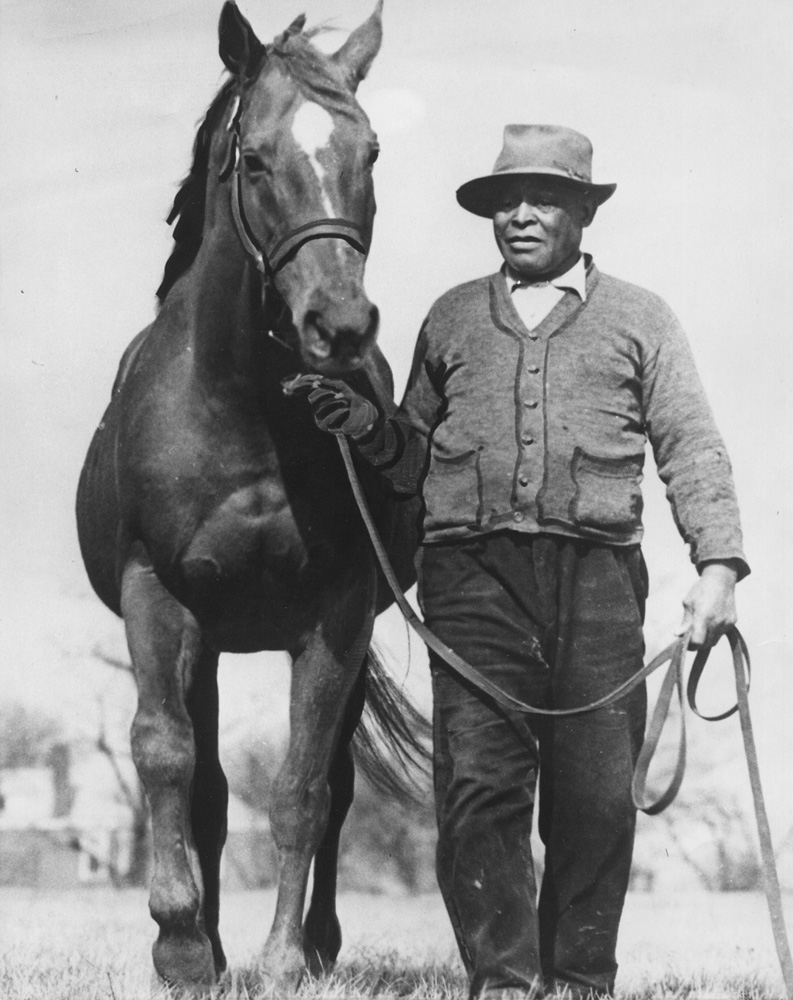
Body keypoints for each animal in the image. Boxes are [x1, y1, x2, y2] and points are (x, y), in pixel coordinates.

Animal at [77, 3, 424, 992]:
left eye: (370, 151)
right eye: (257, 159)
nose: (339, 328)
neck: (240, 406)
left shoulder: (337, 612)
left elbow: (303, 787)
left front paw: (280, 959)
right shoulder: (158, 596)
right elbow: (166, 757)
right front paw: (182, 943)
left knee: (331, 789)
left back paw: (317, 943)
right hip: (208, 639)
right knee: (204, 783)